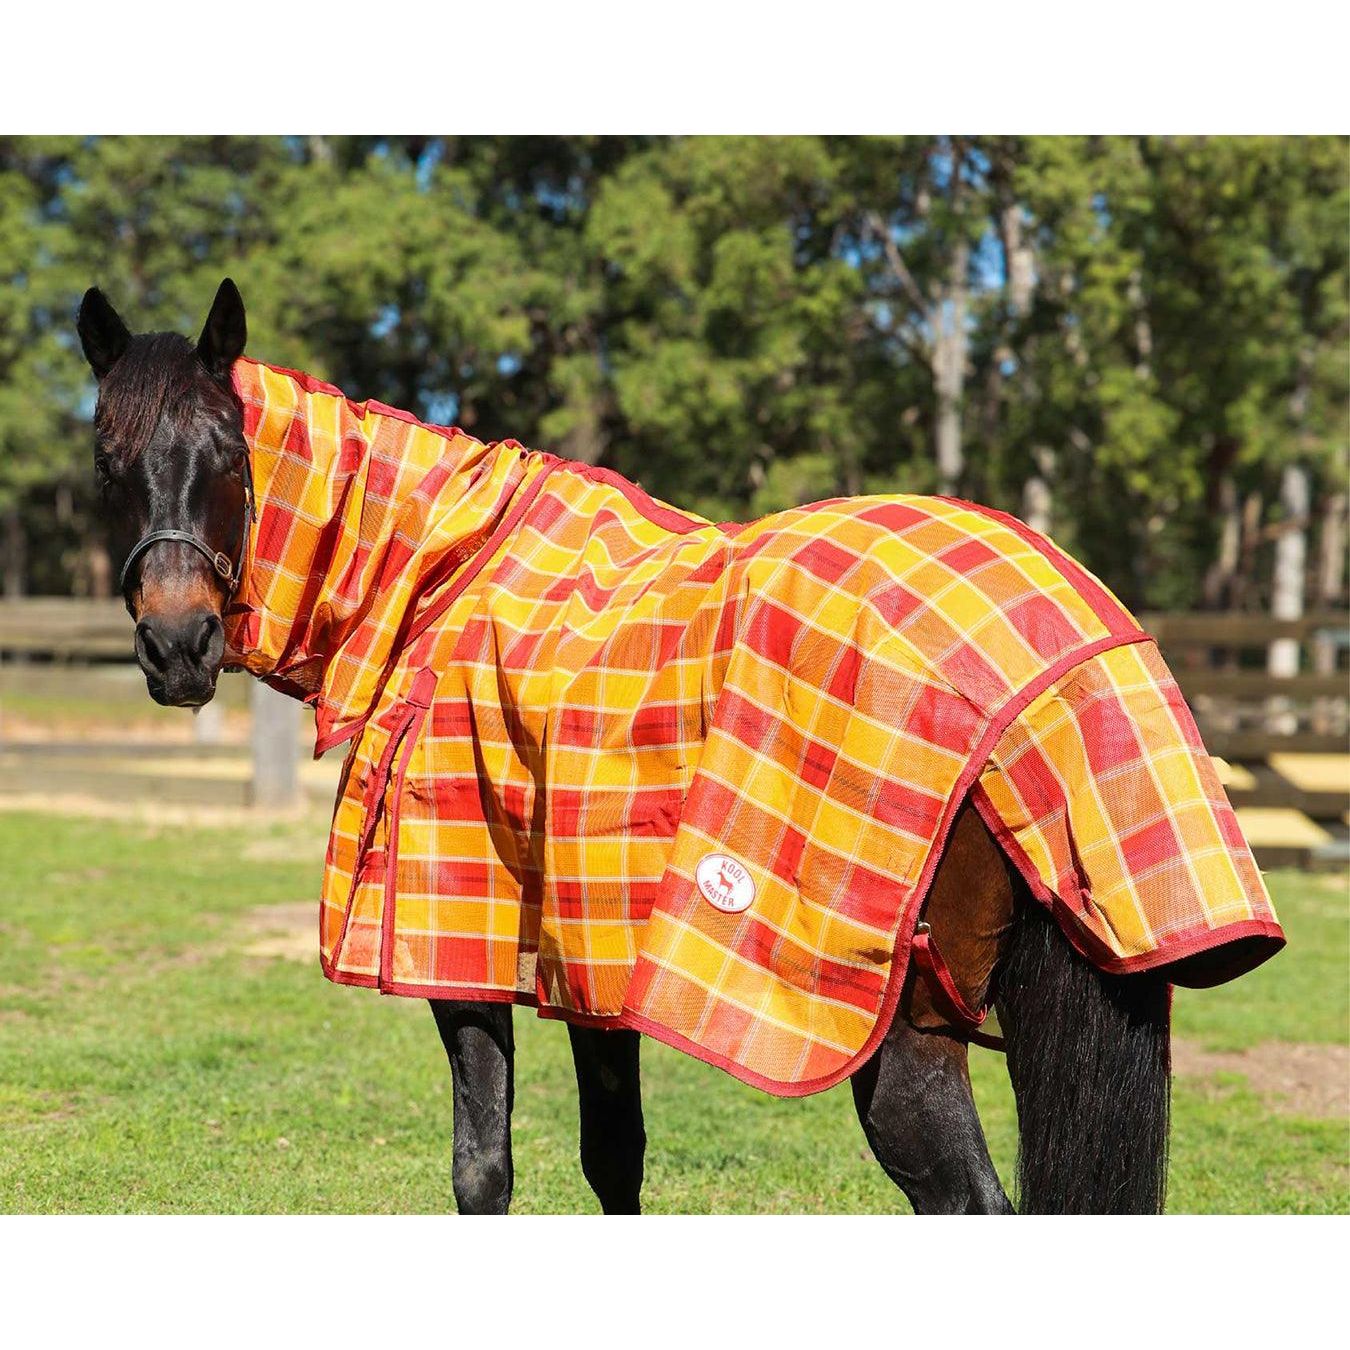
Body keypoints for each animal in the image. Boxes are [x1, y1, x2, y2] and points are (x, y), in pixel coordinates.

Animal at [76, 278, 1262, 1216]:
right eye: (107, 464)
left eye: (229, 458)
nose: (178, 646)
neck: (448, 574)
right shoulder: (588, 960)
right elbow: (616, 1159)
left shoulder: (461, 954)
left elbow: (483, 1170)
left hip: (902, 1036)